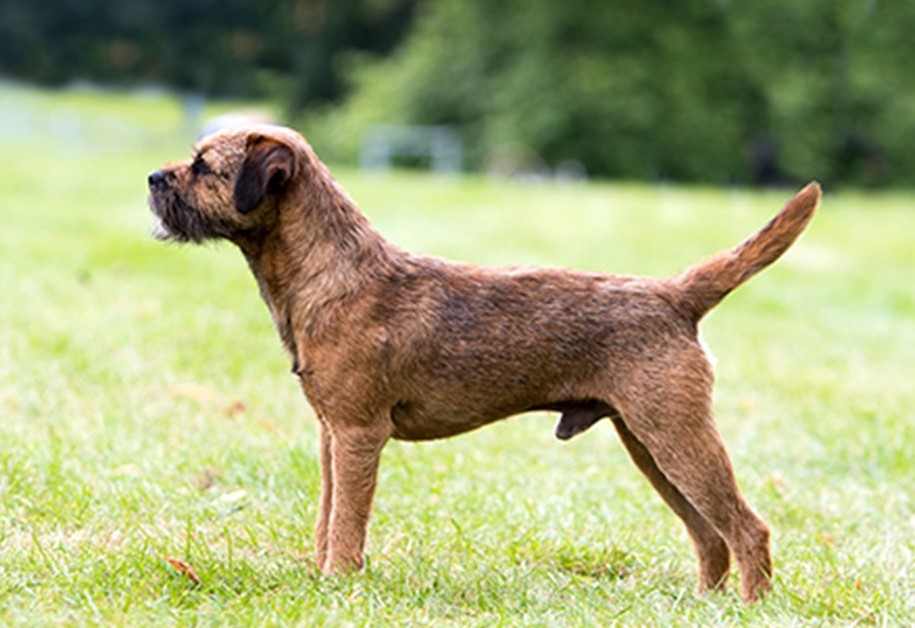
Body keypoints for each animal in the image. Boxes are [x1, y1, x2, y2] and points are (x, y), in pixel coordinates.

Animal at [150, 125, 824, 600]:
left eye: (204, 167)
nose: (154, 177)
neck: (331, 271)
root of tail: (674, 294)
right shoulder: (330, 435)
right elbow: (326, 514)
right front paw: (321, 578)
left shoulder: (359, 434)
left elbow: (347, 521)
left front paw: (339, 583)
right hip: (649, 443)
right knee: (710, 533)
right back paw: (707, 604)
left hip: (676, 434)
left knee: (747, 528)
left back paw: (750, 607)